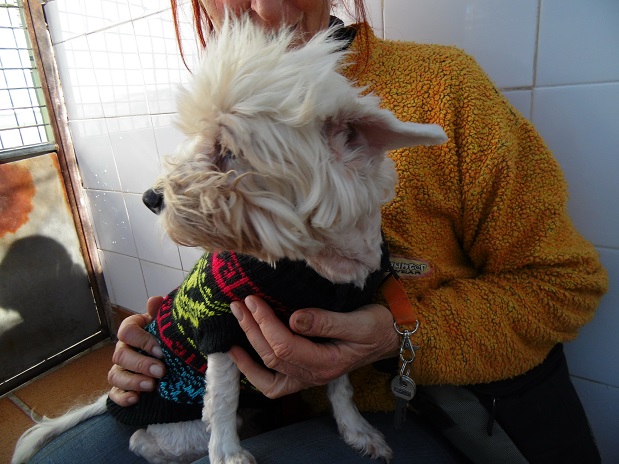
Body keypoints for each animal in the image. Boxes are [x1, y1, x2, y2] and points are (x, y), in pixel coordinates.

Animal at [13, 16, 446, 464]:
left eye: (228, 149)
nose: (151, 198)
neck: (316, 265)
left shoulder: (337, 327)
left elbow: (340, 383)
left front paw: (356, 430)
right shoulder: (221, 327)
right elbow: (221, 400)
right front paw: (226, 452)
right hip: (178, 428)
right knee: (142, 440)